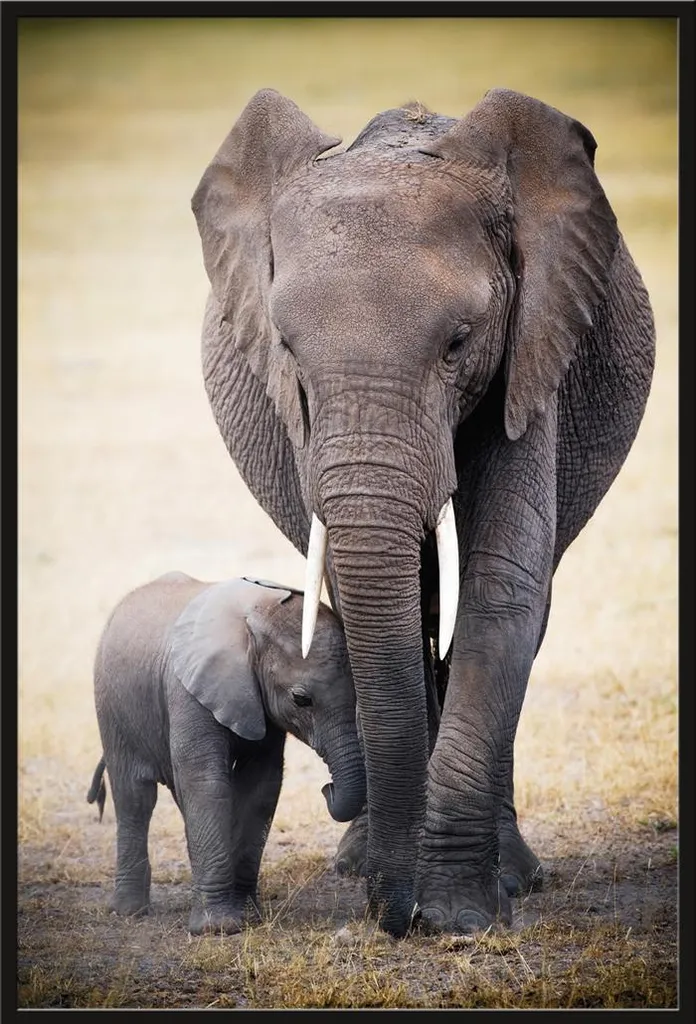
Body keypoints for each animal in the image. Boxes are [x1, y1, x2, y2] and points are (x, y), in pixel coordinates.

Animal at [87, 571, 365, 935]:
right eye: (301, 699)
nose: (327, 788)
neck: (255, 617)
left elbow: (261, 786)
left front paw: (248, 916)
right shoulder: (187, 691)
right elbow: (207, 782)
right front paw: (217, 929)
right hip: (111, 707)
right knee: (134, 796)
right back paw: (129, 912)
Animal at [190, 88, 655, 938]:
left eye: (459, 342)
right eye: (286, 348)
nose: (391, 913)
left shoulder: (532, 349)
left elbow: (501, 590)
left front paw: (460, 917)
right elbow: (379, 598)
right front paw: (408, 893)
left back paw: (512, 876)